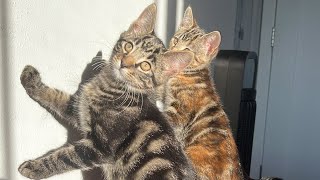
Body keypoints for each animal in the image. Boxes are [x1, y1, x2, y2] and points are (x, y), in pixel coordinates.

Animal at [19, 3, 198, 179]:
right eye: (128, 46)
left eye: (145, 66)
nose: (124, 63)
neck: (110, 86)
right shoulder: (80, 109)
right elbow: (57, 97)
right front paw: (32, 81)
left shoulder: (100, 148)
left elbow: (65, 157)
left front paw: (34, 168)